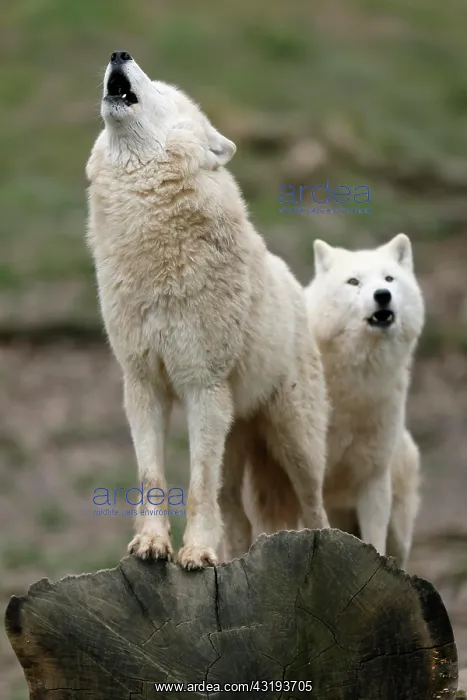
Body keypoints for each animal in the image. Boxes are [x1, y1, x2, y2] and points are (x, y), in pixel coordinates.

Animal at [85, 51, 329, 570]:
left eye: (161, 90)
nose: (119, 54)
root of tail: (294, 283)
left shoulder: (203, 387)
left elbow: (197, 483)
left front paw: (195, 552)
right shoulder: (143, 385)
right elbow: (152, 477)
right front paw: (152, 545)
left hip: (295, 442)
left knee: (316, 507)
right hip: (237, 440)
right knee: (235, 516)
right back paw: (232, 556)